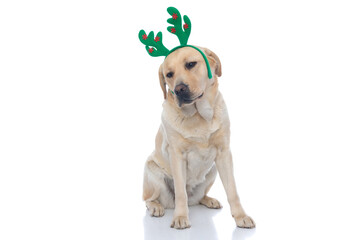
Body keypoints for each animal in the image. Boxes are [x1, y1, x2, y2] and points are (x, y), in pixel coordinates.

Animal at [142, 46, 255, 229]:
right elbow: (181, 192)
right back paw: (156, 207)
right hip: (152, 171)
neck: (199, 116)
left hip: (212, 171)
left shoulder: (224, 153)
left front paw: (241, 216)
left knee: (198, 198)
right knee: (149, 199)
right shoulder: (177, 155)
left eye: (190, 64)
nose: (179, 89)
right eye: (169, 74)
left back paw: (209, 200)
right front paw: (180, 217)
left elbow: (232, 190)